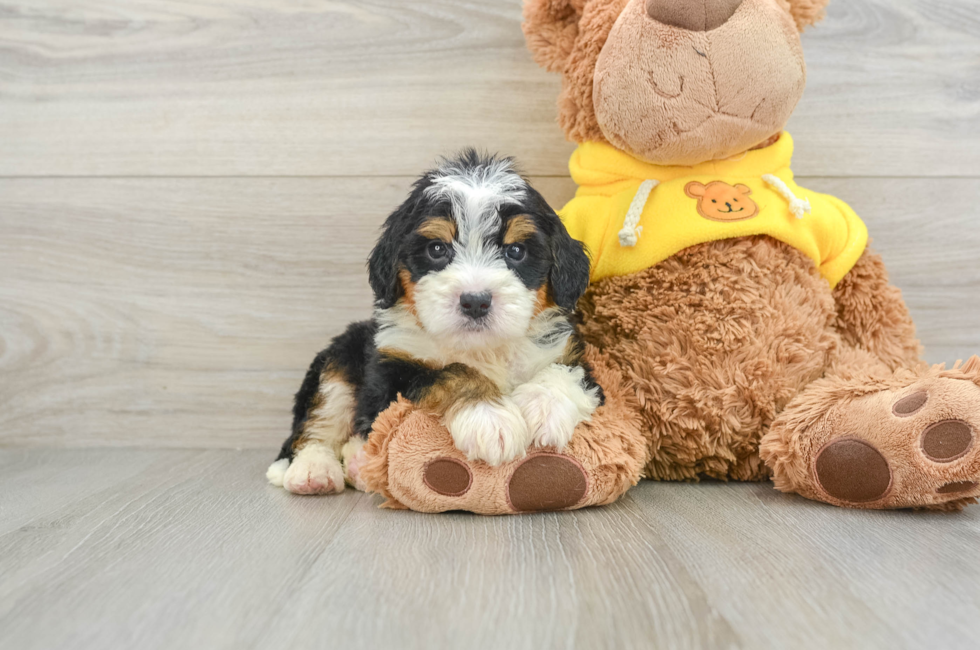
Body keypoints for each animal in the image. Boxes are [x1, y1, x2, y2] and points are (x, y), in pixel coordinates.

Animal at [270, 152, 604, 494]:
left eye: (516, 250)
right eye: (437, 249)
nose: (475, 301)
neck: (484, 349)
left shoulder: (572, 358)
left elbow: (565, 372)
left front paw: (544, 408)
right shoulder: (391, 376)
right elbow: (451, 372)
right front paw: (490, 417)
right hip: (335, 368)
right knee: (314, 429)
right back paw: (315, 471)